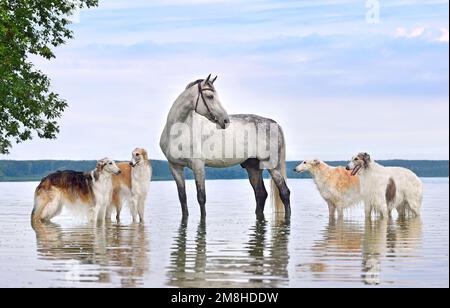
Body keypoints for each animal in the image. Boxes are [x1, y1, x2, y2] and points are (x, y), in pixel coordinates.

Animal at [160, 74, 290, 219]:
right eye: (210, 96)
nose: (225, 120)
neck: (179, 132)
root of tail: (274, 124)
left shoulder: (198, 166)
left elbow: (201, 197)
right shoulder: (175, 167)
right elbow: (182, 198)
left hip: (272, 166)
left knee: (284, 192)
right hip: (253, 167)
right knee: (260, 194)